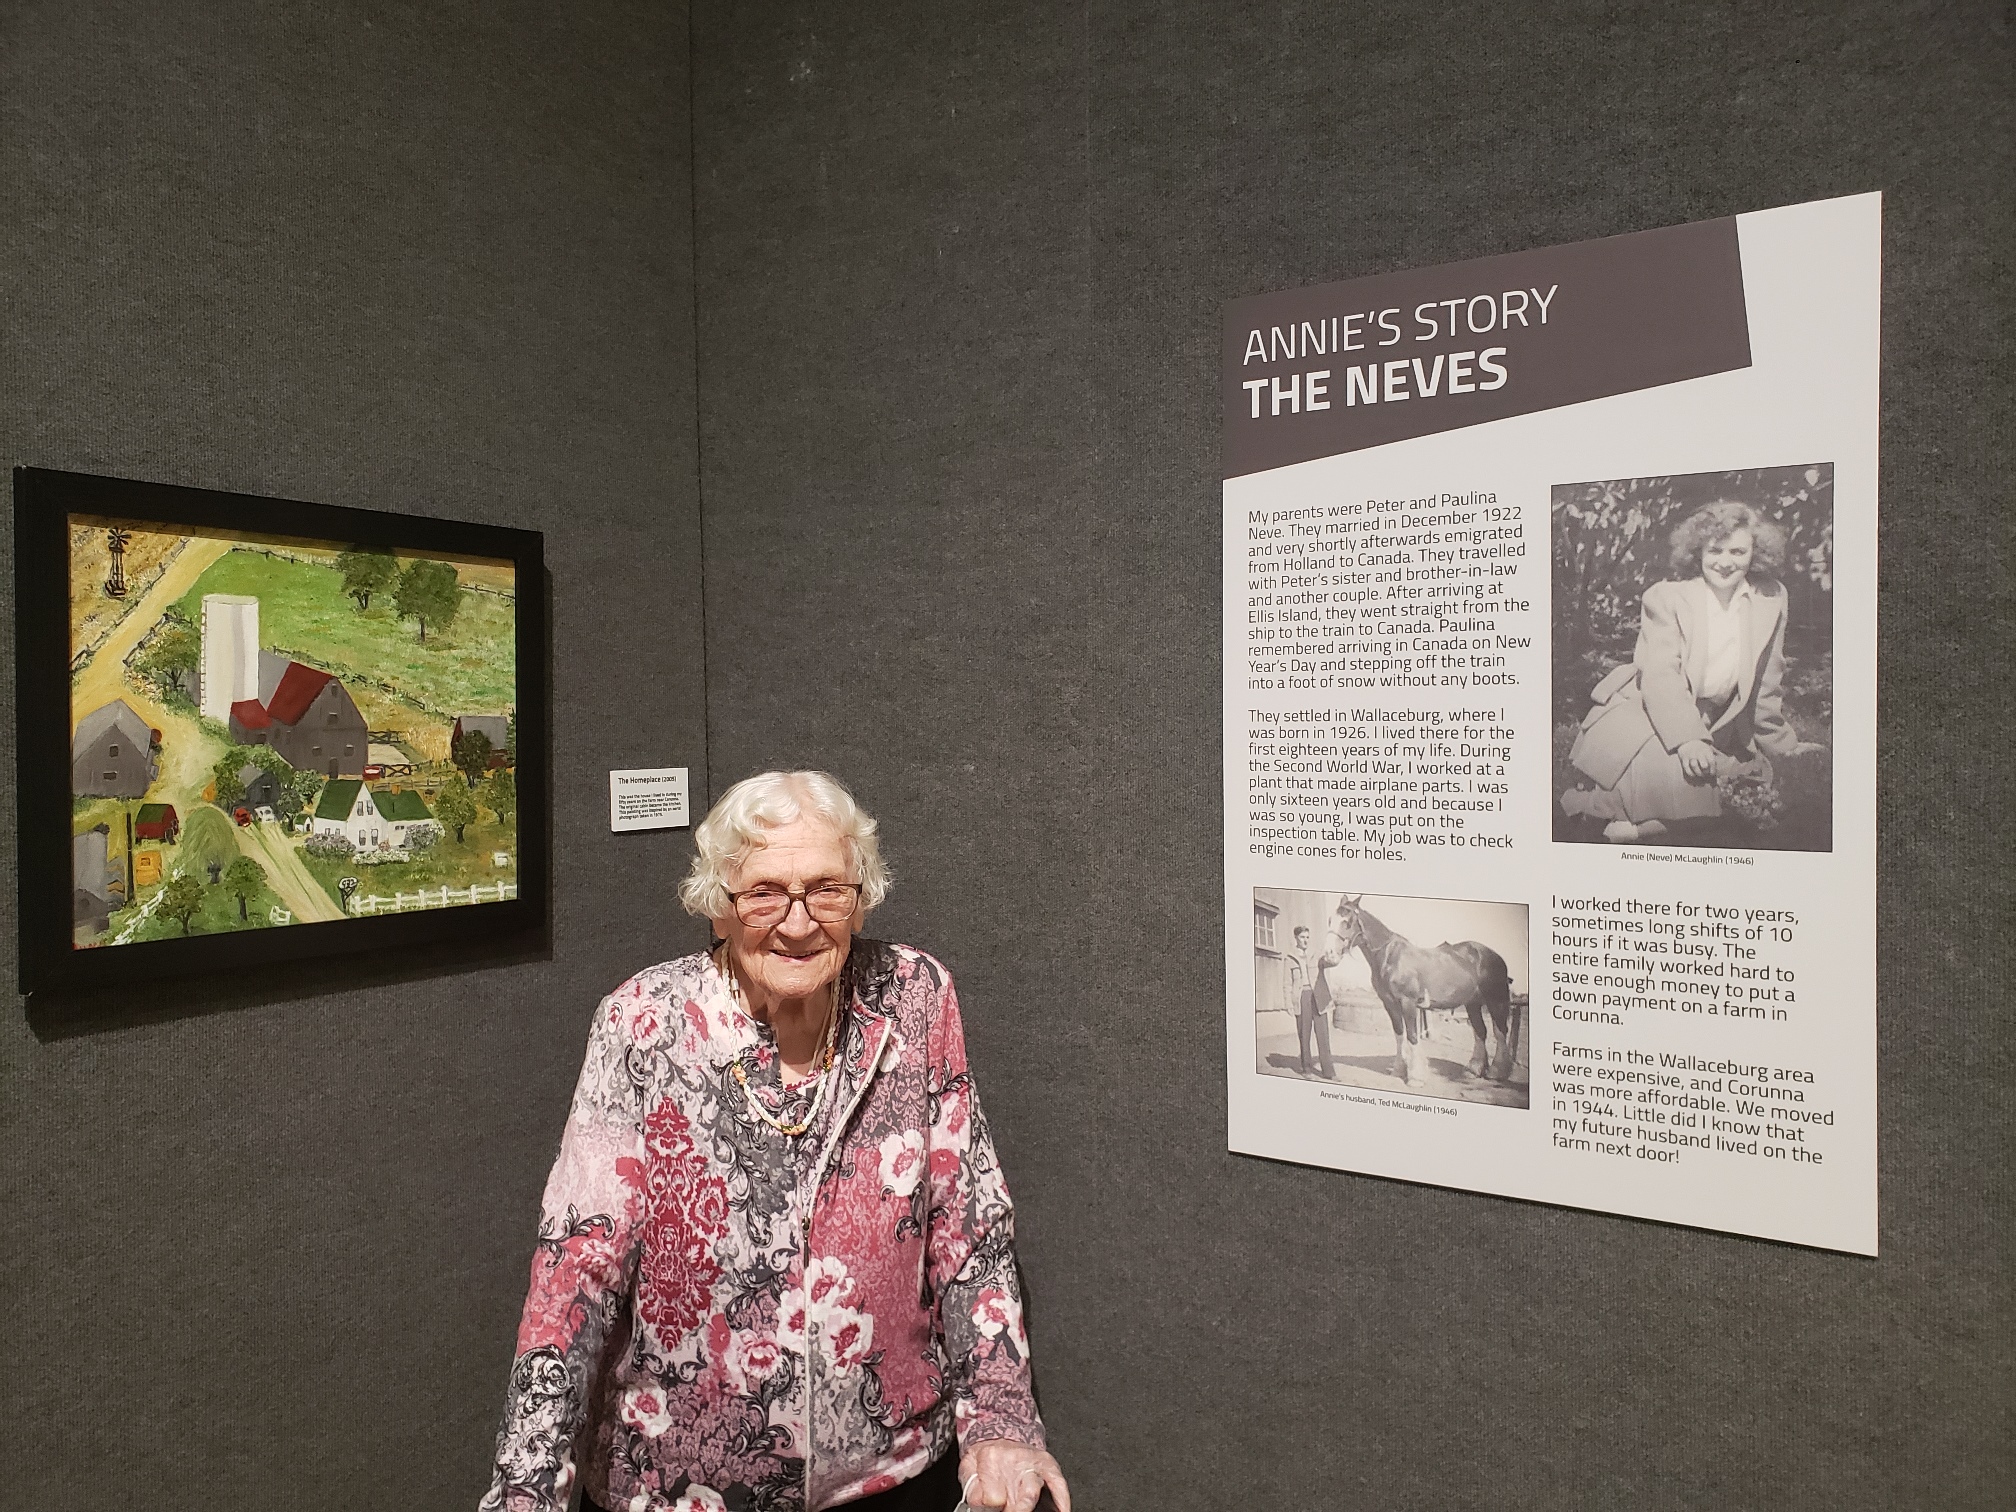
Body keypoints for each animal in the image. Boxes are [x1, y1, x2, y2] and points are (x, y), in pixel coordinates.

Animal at [1330, 899, 1516, 1088]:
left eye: (1347, 921)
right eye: (1331, 919)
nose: (1330, 955)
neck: (1391, 957)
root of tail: (1495, 956)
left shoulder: (1408, 1002)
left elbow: (1412, 1036)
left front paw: (1416, 1077)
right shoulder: (1389, 1003)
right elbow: (1399, 1034)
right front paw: (1399, 1070)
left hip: (1496, 1000)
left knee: (1500, 1031)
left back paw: (1496, 1072)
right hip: (1473, 1003)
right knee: (1480, 1032)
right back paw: (1473, 1070)